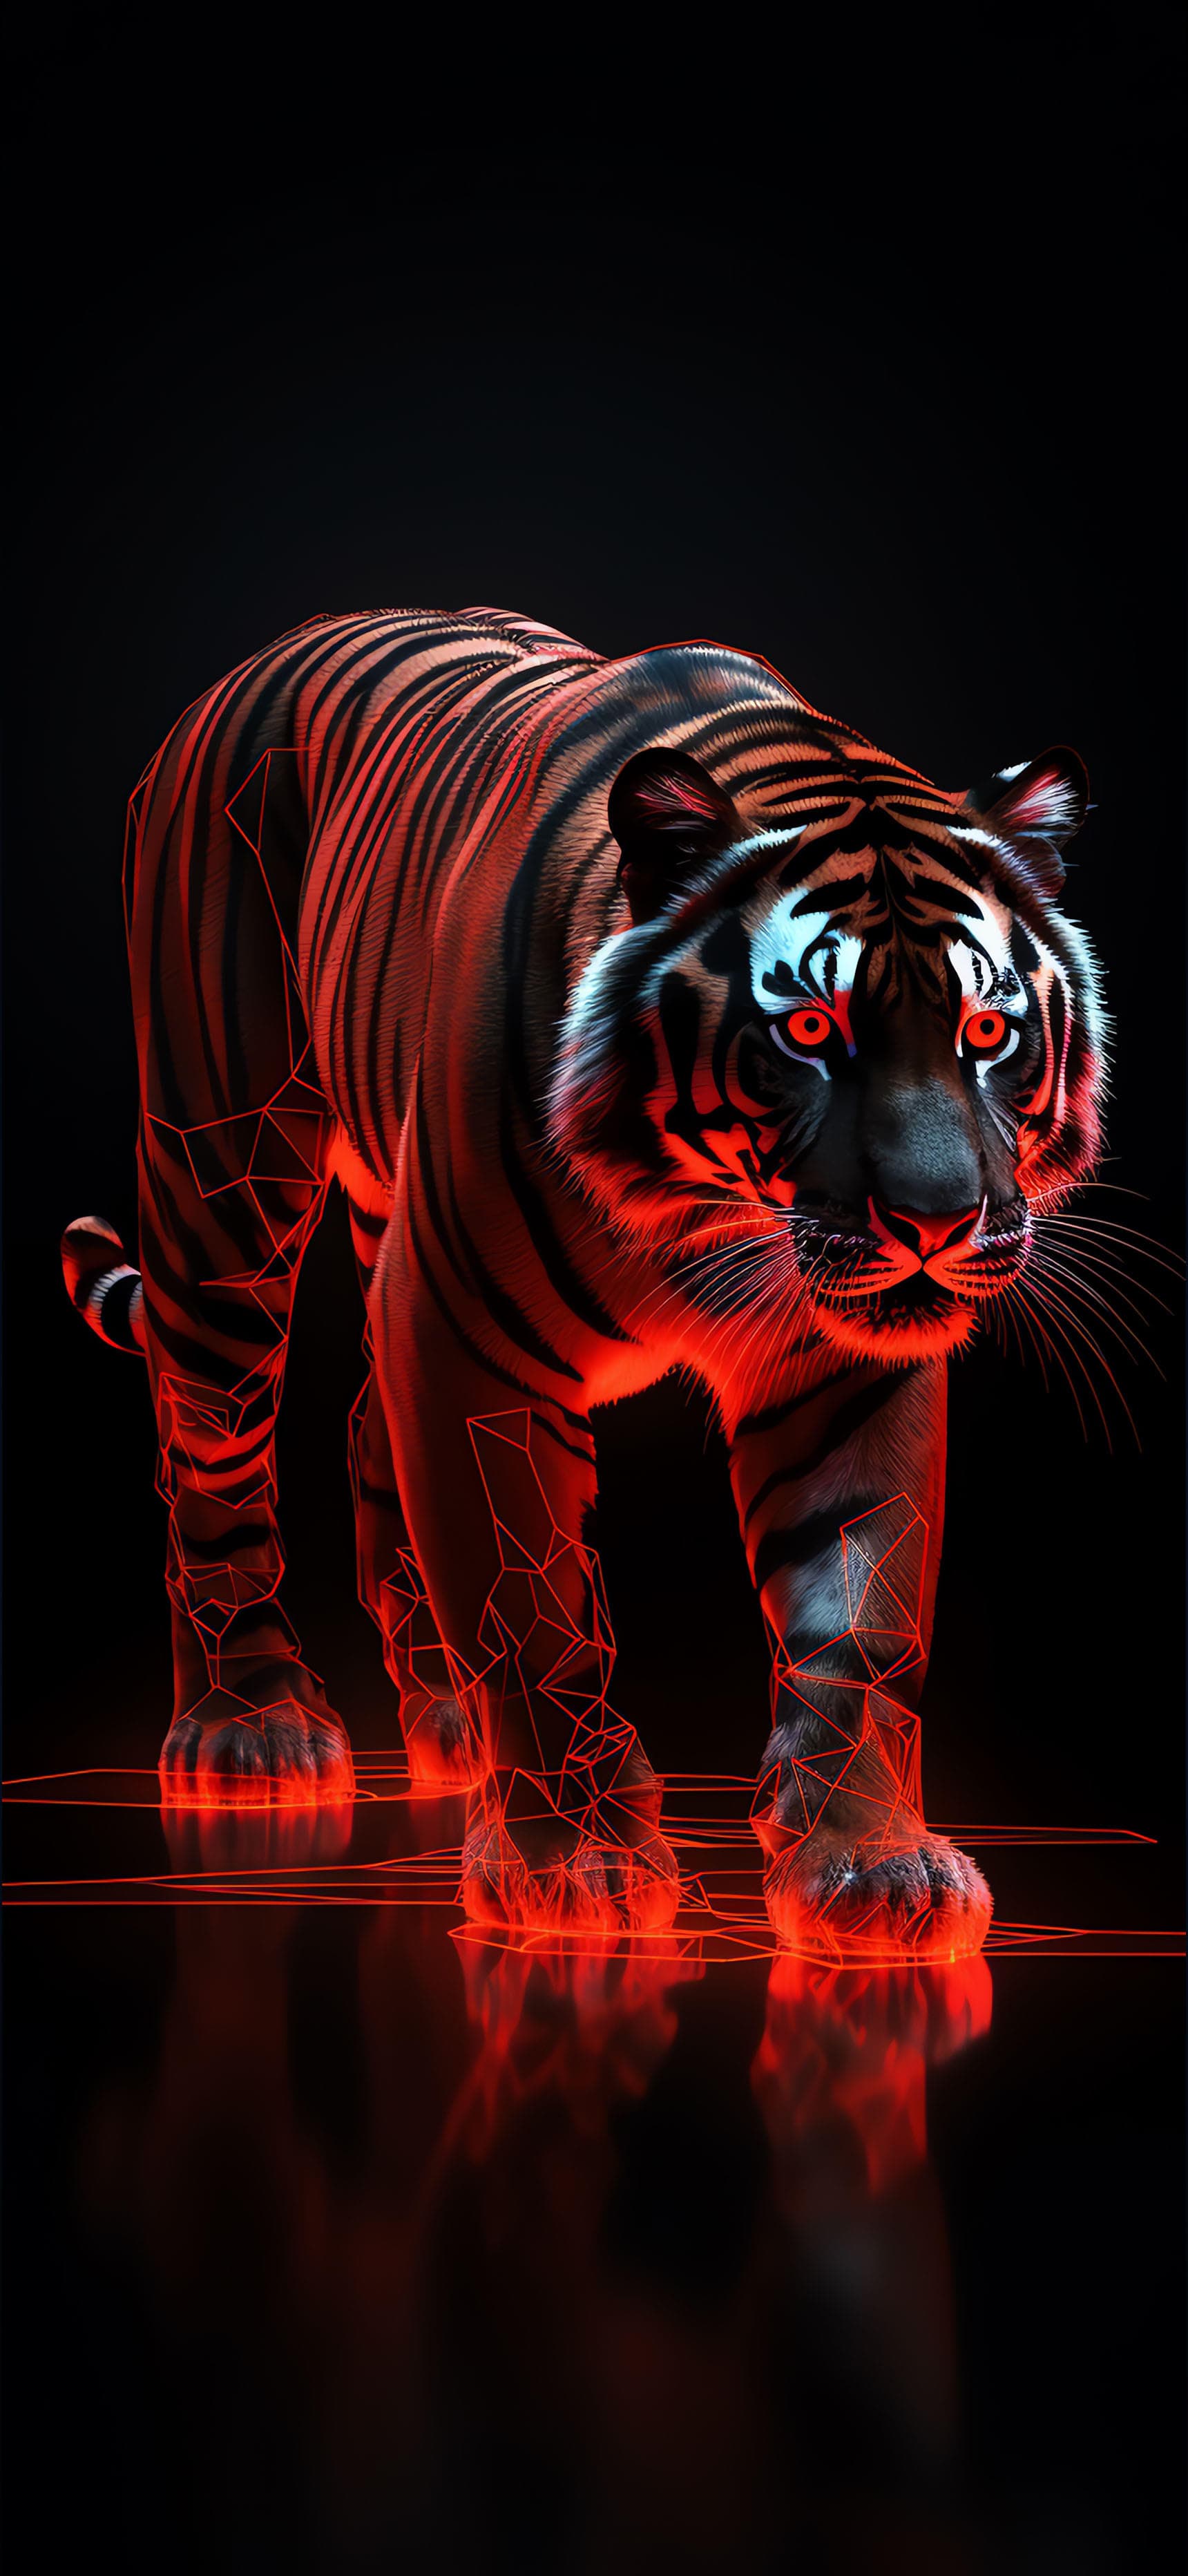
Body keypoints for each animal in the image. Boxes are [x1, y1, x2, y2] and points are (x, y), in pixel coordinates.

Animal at [61, 606, 1104, 1958]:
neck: (715, 1216)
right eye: (811, 1030)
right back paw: (252, 1728)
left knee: (363, 1430)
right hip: (222, 1168)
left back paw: (441, 1720)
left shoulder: (843, 1373)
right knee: (209, 1440)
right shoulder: (470, 1343)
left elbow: (861, 1614)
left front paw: (867, 1866)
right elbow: (529, 1605)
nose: (935, 1220)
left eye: (988, 1031)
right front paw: (578, 1864)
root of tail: (273, 650)